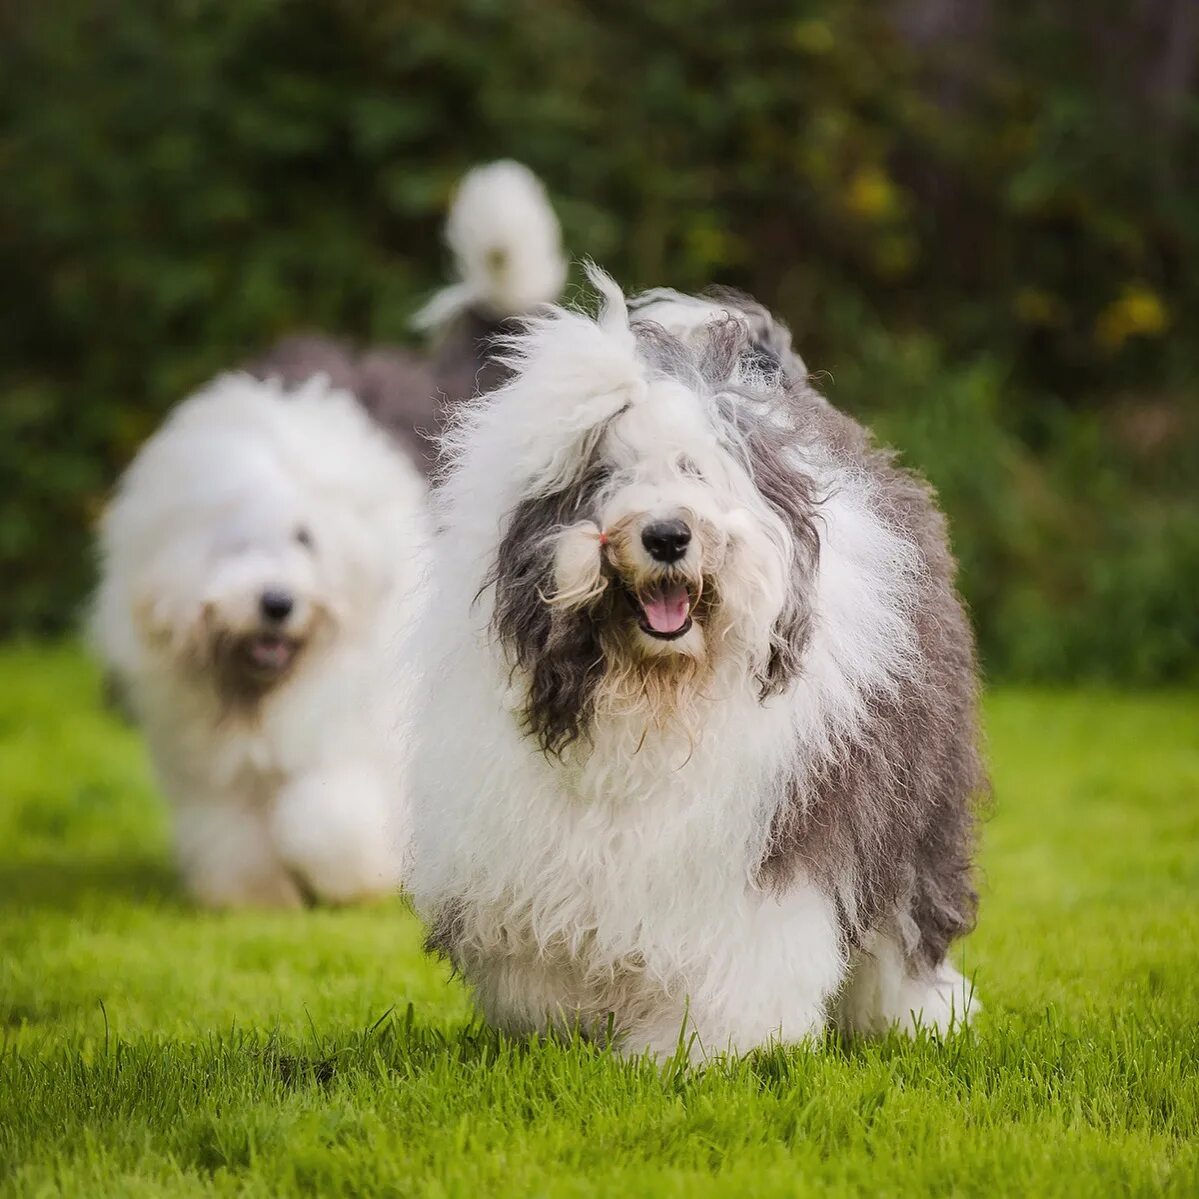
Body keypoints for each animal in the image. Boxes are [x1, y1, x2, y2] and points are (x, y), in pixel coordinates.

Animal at [94, 374, 431, 906]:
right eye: (238, 544)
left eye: (305, 538)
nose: (276, 603)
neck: (265, 696)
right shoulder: (217, 775)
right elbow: (234, 838)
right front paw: (256, 899)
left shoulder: (352, 741)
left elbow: (325, 820)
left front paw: (353, 881)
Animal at [407, 267, 987, 1055]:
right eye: (606, 474)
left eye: (695, 469)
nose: (666, 535)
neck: (656, 694)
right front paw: (569, 1028)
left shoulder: (767, 839)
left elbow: (741, 957)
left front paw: (698, 1049)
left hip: (915, 804)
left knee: (906, 918)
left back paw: (918, 1018)